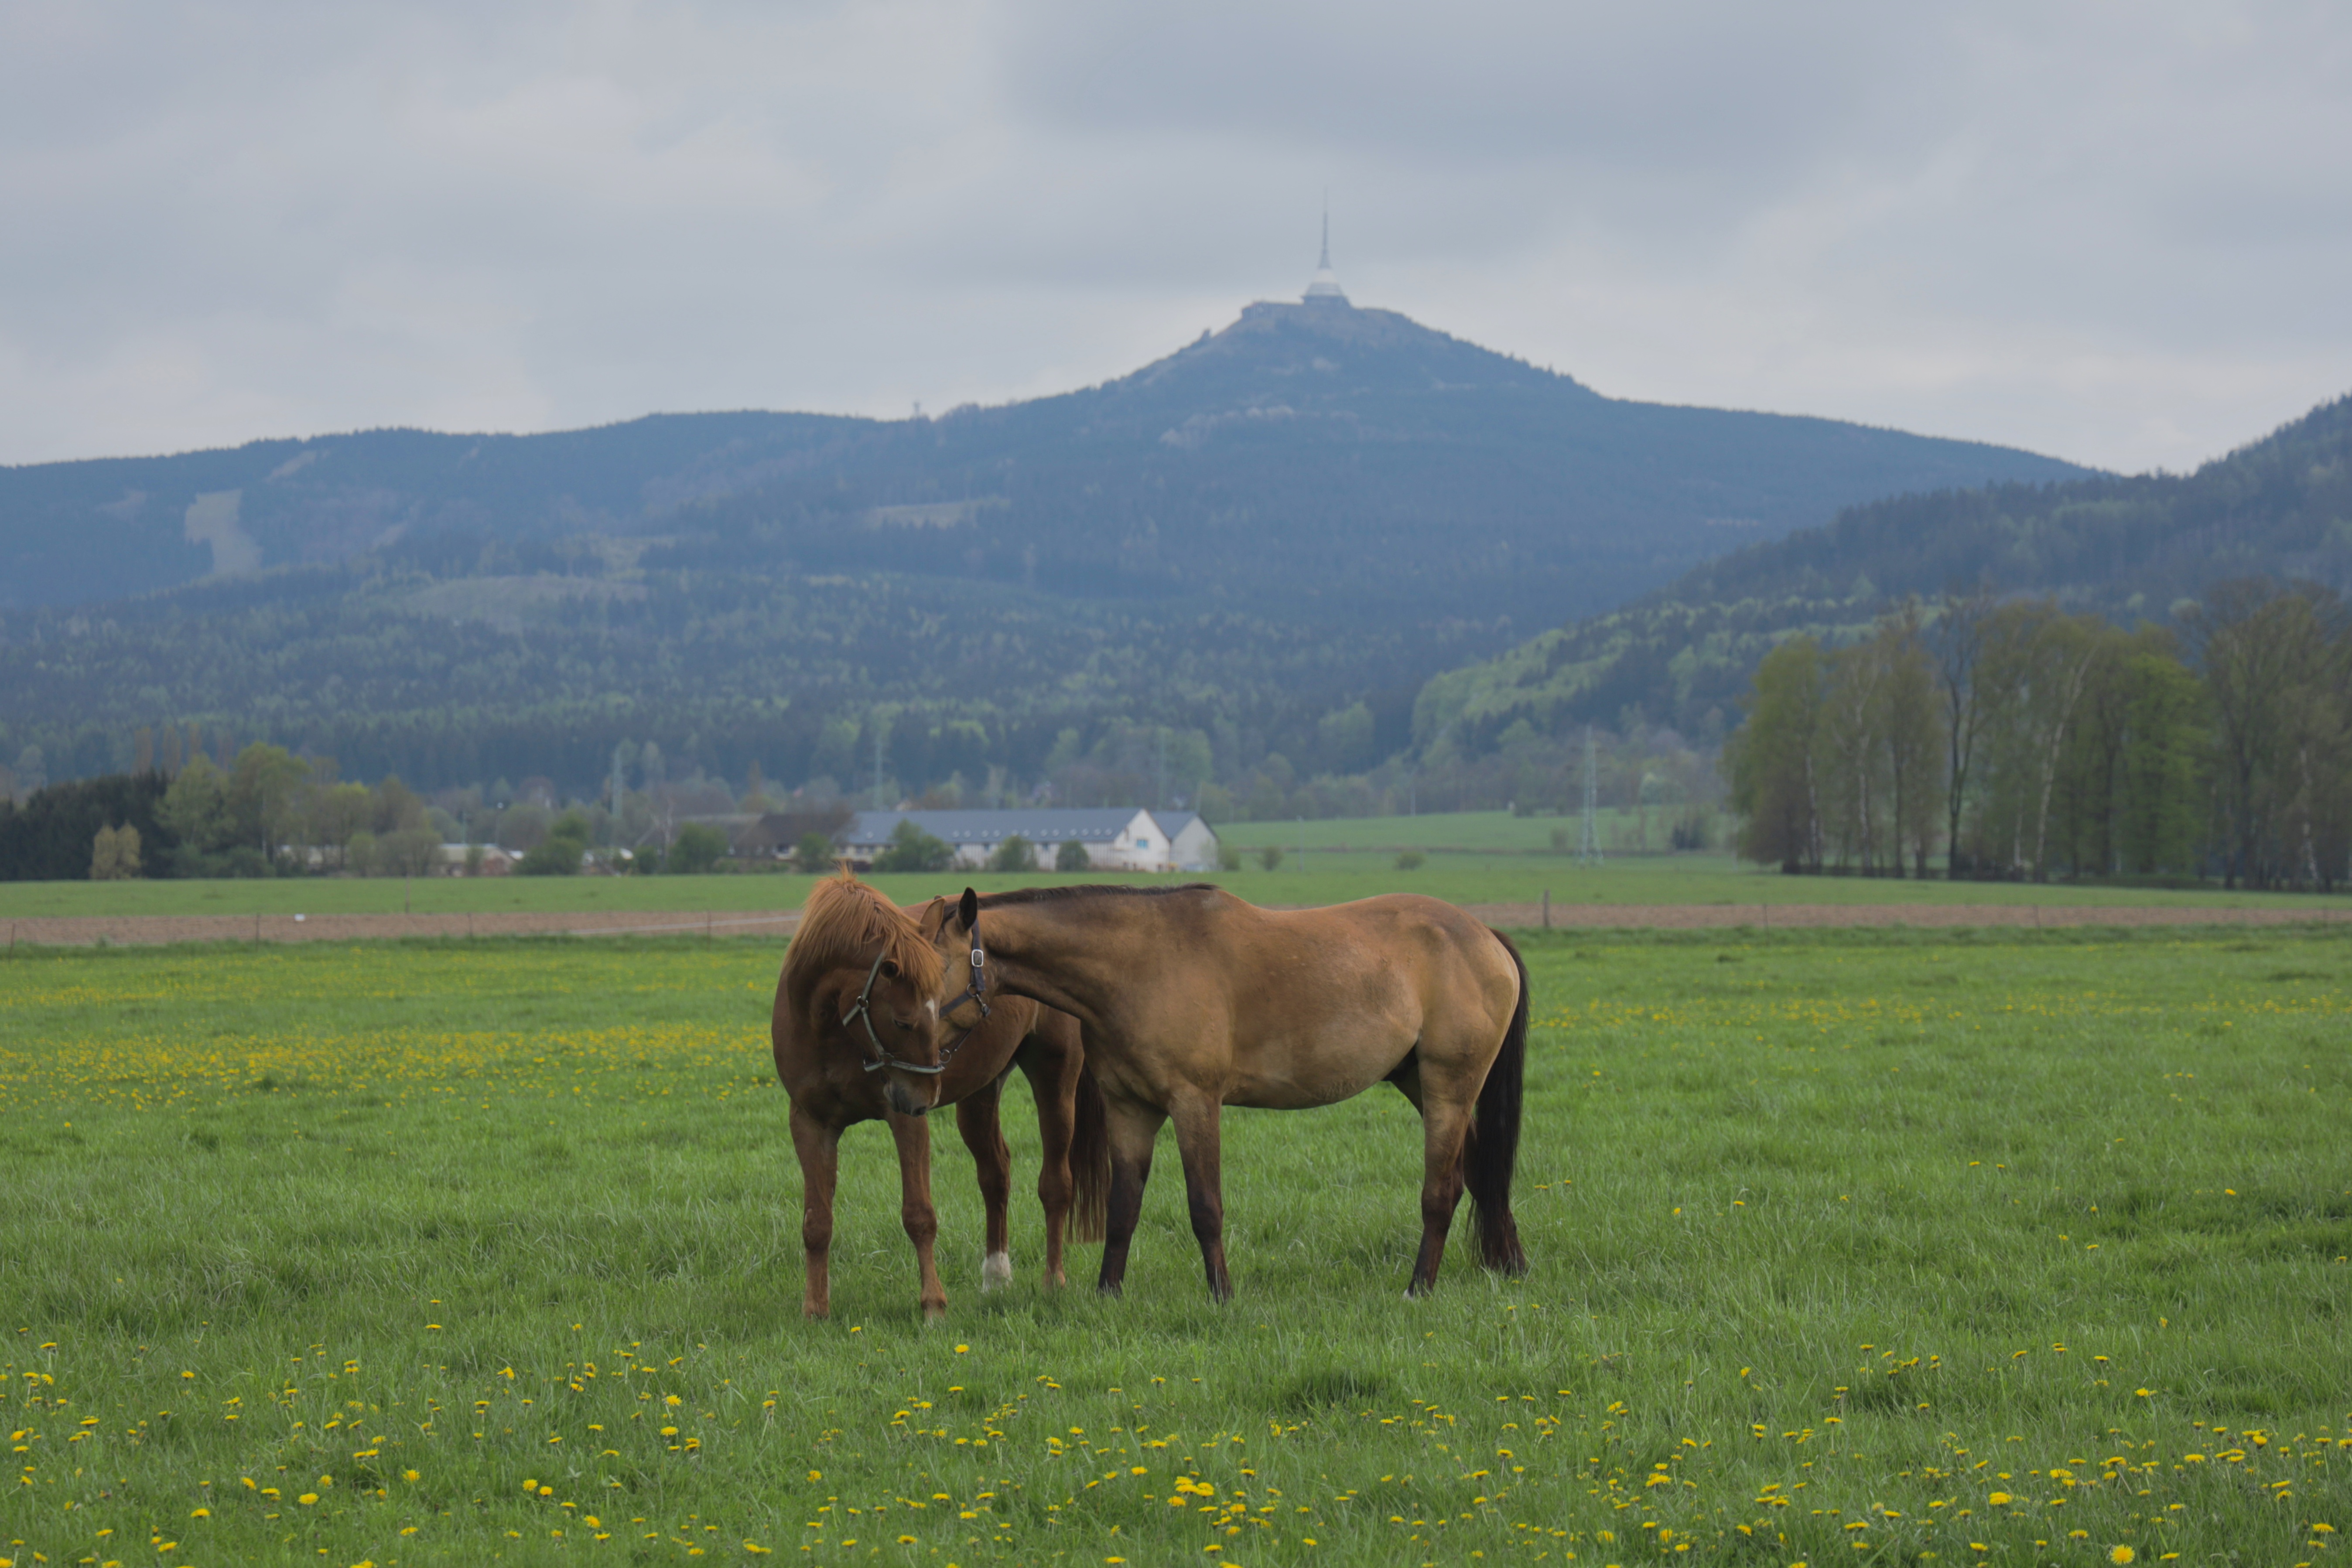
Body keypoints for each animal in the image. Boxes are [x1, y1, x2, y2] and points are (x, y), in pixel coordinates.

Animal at [766, 879, 1105, 1316]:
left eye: (938, 1008)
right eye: (903, 1022)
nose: (928, 1093)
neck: (828, 1030)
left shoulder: (905, 1119)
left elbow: (919, 1215)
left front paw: (933, 1306)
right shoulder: (810, 1122)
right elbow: (816, 1221)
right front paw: (815, 1309)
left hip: (1055, 1079)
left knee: (1056, 1184)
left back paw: (1053, 1281)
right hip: (980, 1094)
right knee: (996, 1174)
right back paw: (996, 1277)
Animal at [908, 888, 1533, 1307]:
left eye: (929, 975)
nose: (911, 1071)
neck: (1139, 964)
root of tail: (1486, 937)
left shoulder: (1195, 1103)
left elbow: (1205, 1205)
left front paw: (1222, 1294)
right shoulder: (1129, 1108)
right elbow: (1122, 1206)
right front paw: (1109, 1292)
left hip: (1449, 1086)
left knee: (1442, 1190)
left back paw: (1418, 1288)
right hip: (1420, 1083)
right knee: (1481, 1172)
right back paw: (1508, 1263)